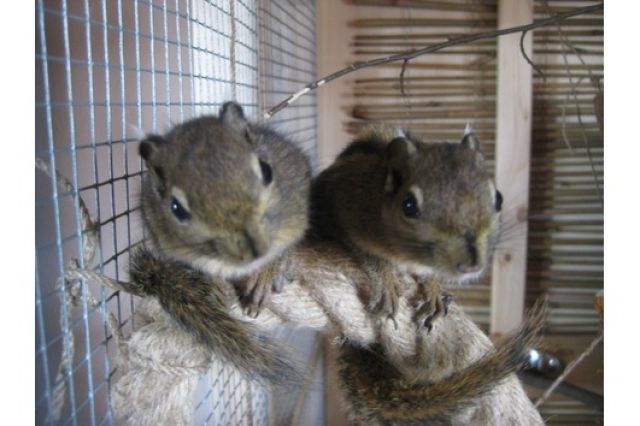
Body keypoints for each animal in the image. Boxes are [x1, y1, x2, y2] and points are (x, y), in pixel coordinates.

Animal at [130, 101, 310, 384]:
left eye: (267, 170)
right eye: (176, 208)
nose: (254, 251)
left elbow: (285, 249)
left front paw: (266, 275)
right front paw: (214, 284)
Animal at [308, 125, 500, 328]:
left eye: (499, 199)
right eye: (409, 205)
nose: (471, 265)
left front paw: (434, 289)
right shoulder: (347, 216)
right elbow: (372, 258)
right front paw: (386, 283)